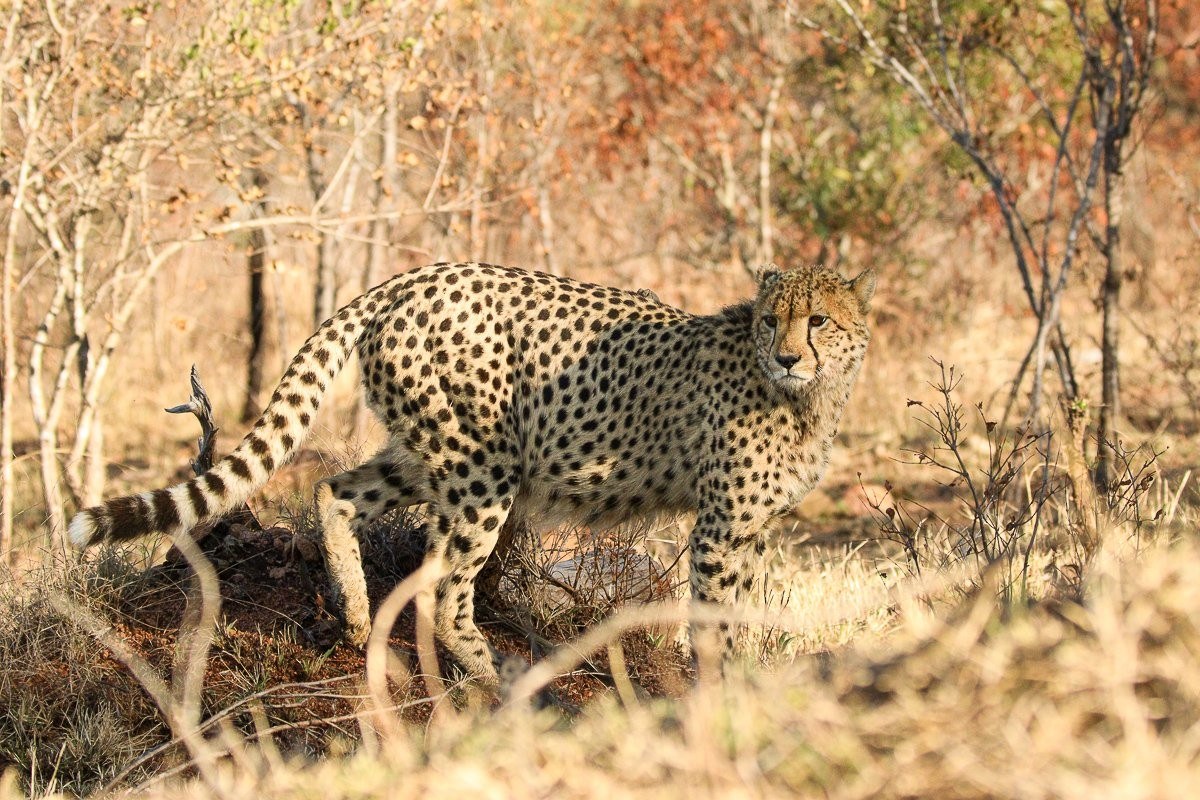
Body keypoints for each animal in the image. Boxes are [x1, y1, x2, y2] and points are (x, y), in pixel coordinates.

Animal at [70, 261, 875, 685]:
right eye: (773, 319)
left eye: (819, 321)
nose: (788, 355)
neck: (805, 397)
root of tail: (412, 278)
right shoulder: (720, 530)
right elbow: (713, 622)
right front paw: (717, 694)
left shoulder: (752, 531)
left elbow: (742, 618)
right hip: (483, 467)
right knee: (442, 585)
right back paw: (493, 675)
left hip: (430, 453)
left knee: (336, 492)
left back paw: (355, 615)